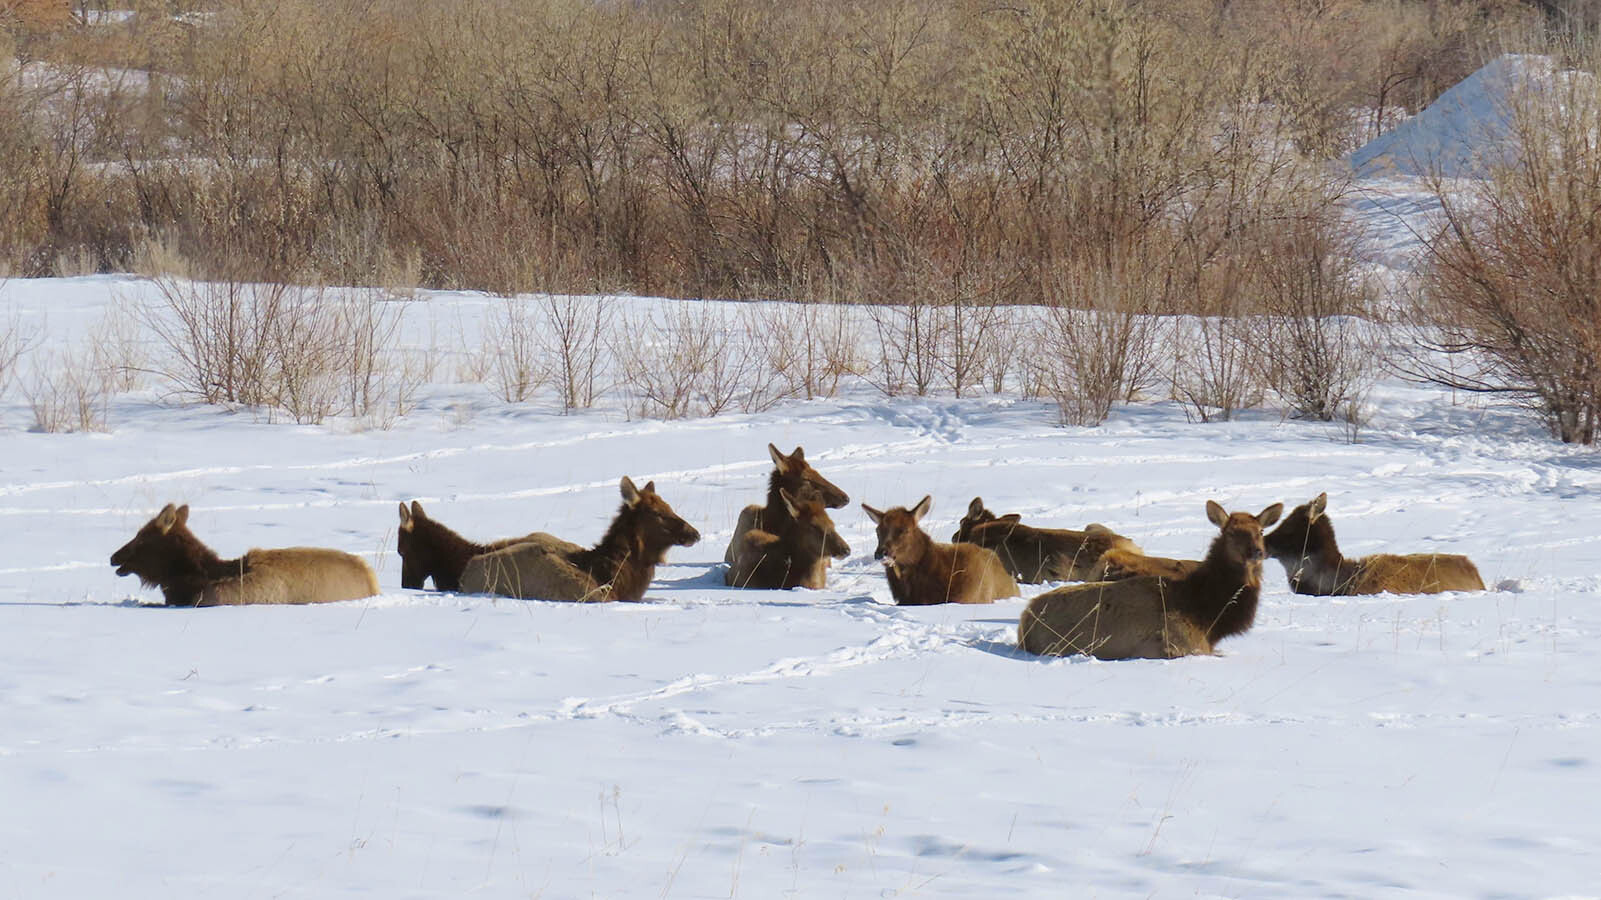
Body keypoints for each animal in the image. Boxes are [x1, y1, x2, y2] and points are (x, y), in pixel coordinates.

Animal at [1018, 501, 1282, 660]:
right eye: (1230, 532)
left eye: (1260, 531)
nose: (1257, 551)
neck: (1208, 615)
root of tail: (1024, 622)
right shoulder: (1177, 645)